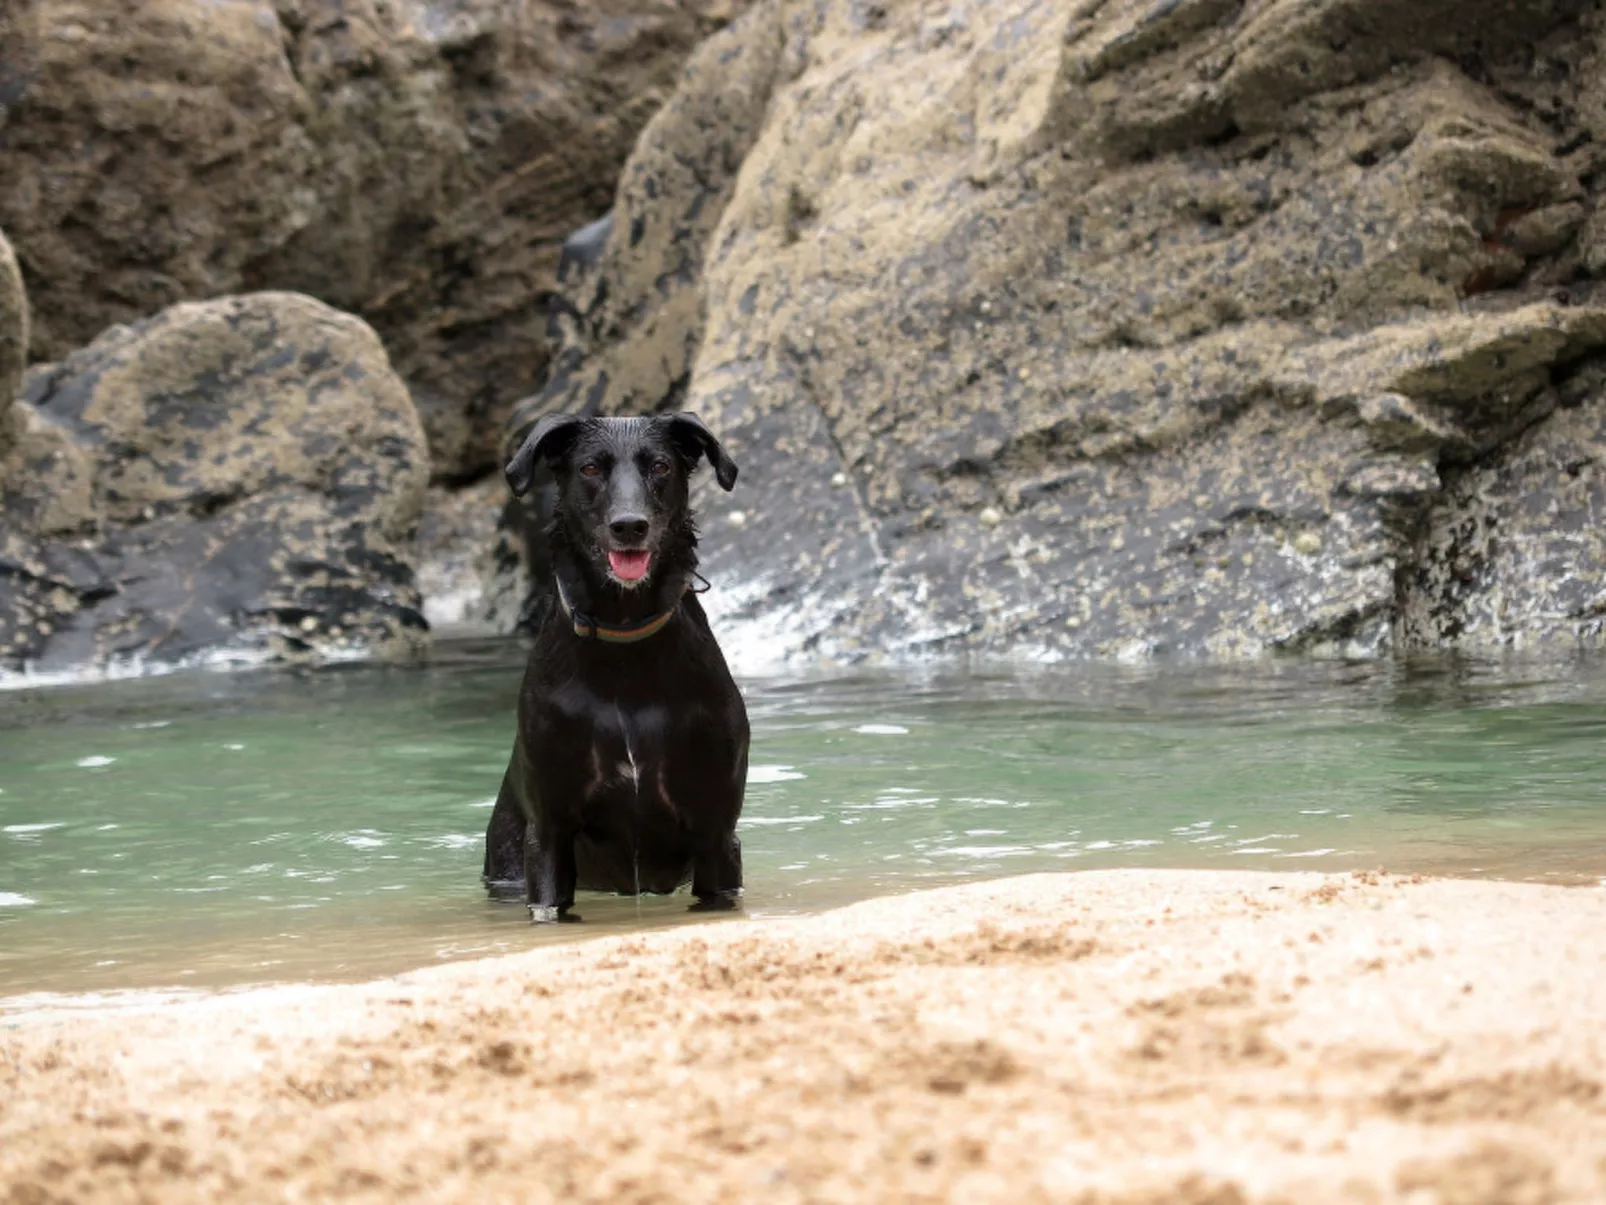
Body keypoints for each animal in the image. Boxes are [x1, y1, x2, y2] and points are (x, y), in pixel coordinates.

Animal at [478, 414, 748, 925]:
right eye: (589, 468)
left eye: (660, 465)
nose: (630, 526)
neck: (625, 643)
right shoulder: (548, 833)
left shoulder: (717, 834)